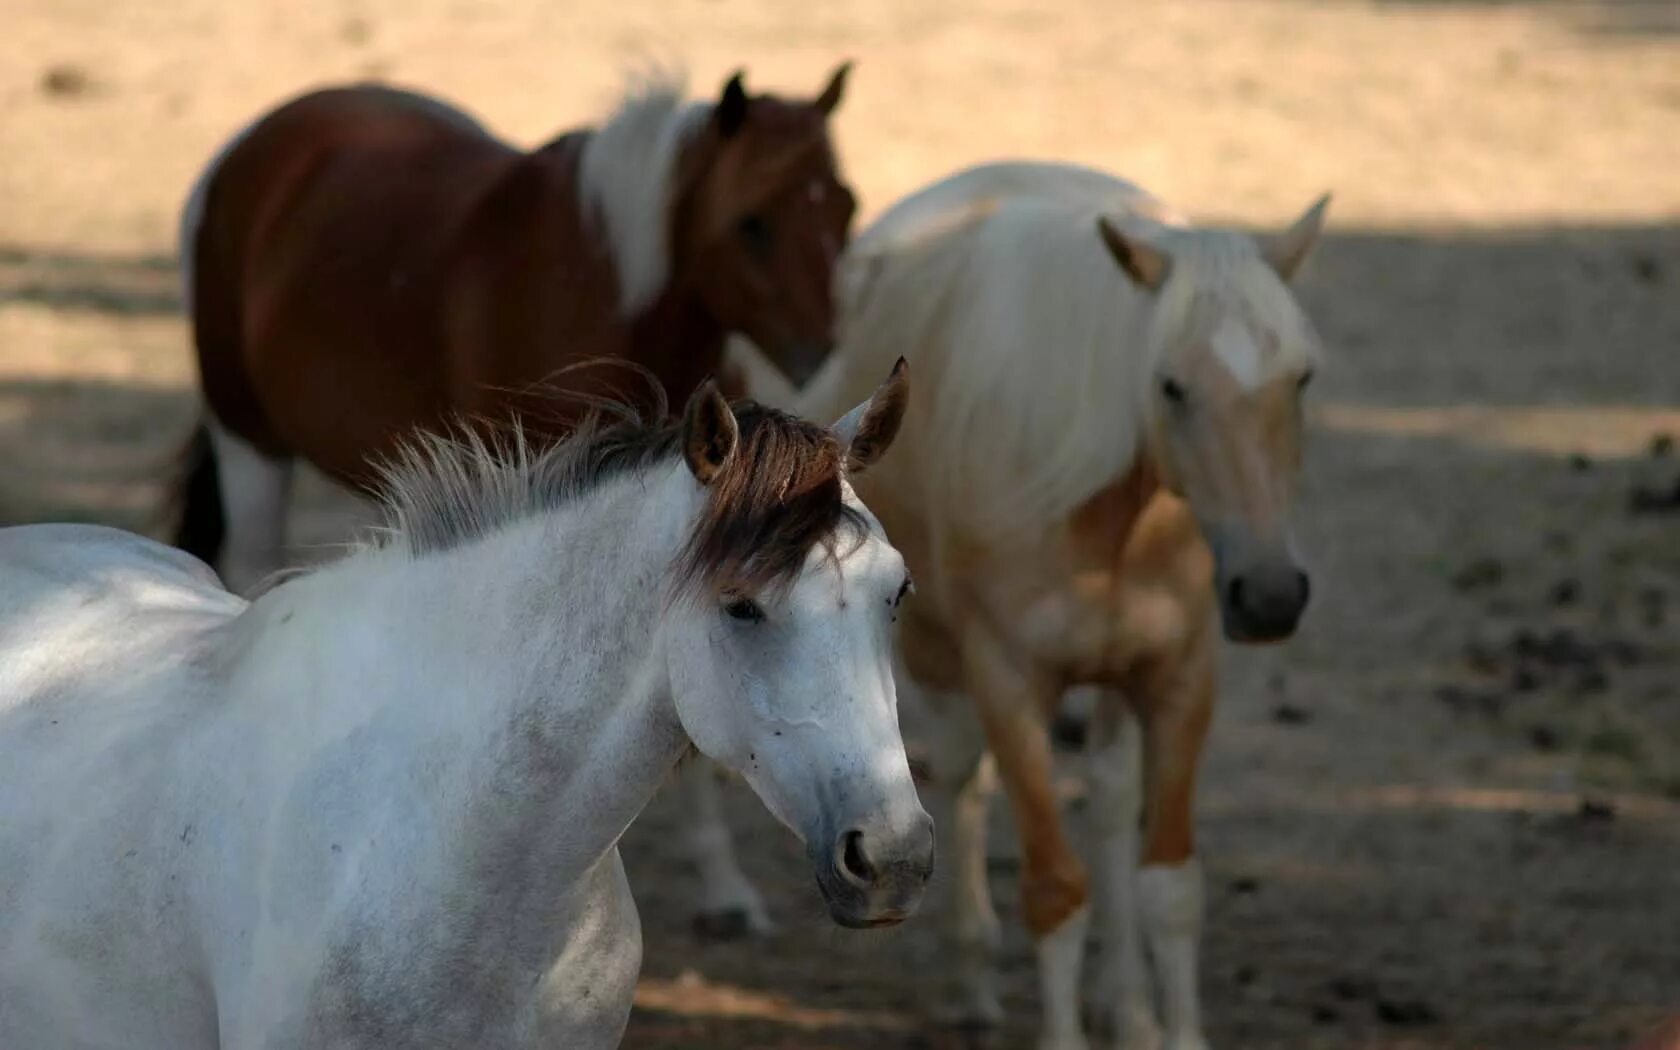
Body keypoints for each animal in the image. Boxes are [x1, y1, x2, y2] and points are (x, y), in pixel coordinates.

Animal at [178, 65, 860, 594]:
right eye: (752, 224)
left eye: (846, 207)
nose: (822, 354)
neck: (607, 292)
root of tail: (246, 150)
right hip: (247, 439)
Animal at [708, 157, 1323, 1048]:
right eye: (1171, 387)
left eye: (1301, 378)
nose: (1271, 594)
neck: (1105, 514)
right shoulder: (1009, 682)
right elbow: (1054, 889)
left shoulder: (1177, 676)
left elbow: (1170, 887)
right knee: (963, 771)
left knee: (1103, 800)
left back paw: (1126, 1006)